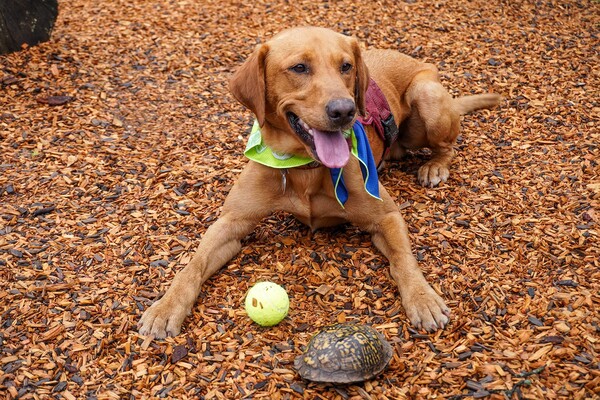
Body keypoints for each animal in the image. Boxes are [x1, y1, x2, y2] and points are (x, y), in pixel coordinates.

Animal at [138, 25, 500, 338]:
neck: (304, 168)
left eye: (346, 66)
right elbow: (192, 265)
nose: (345, 110)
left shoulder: (386, 216)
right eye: (299, 67)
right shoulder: (231, 222)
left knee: (447, 146)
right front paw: (165, 308)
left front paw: (423, 298)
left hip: (429, 97)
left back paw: (435, 166)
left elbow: (404, 260)